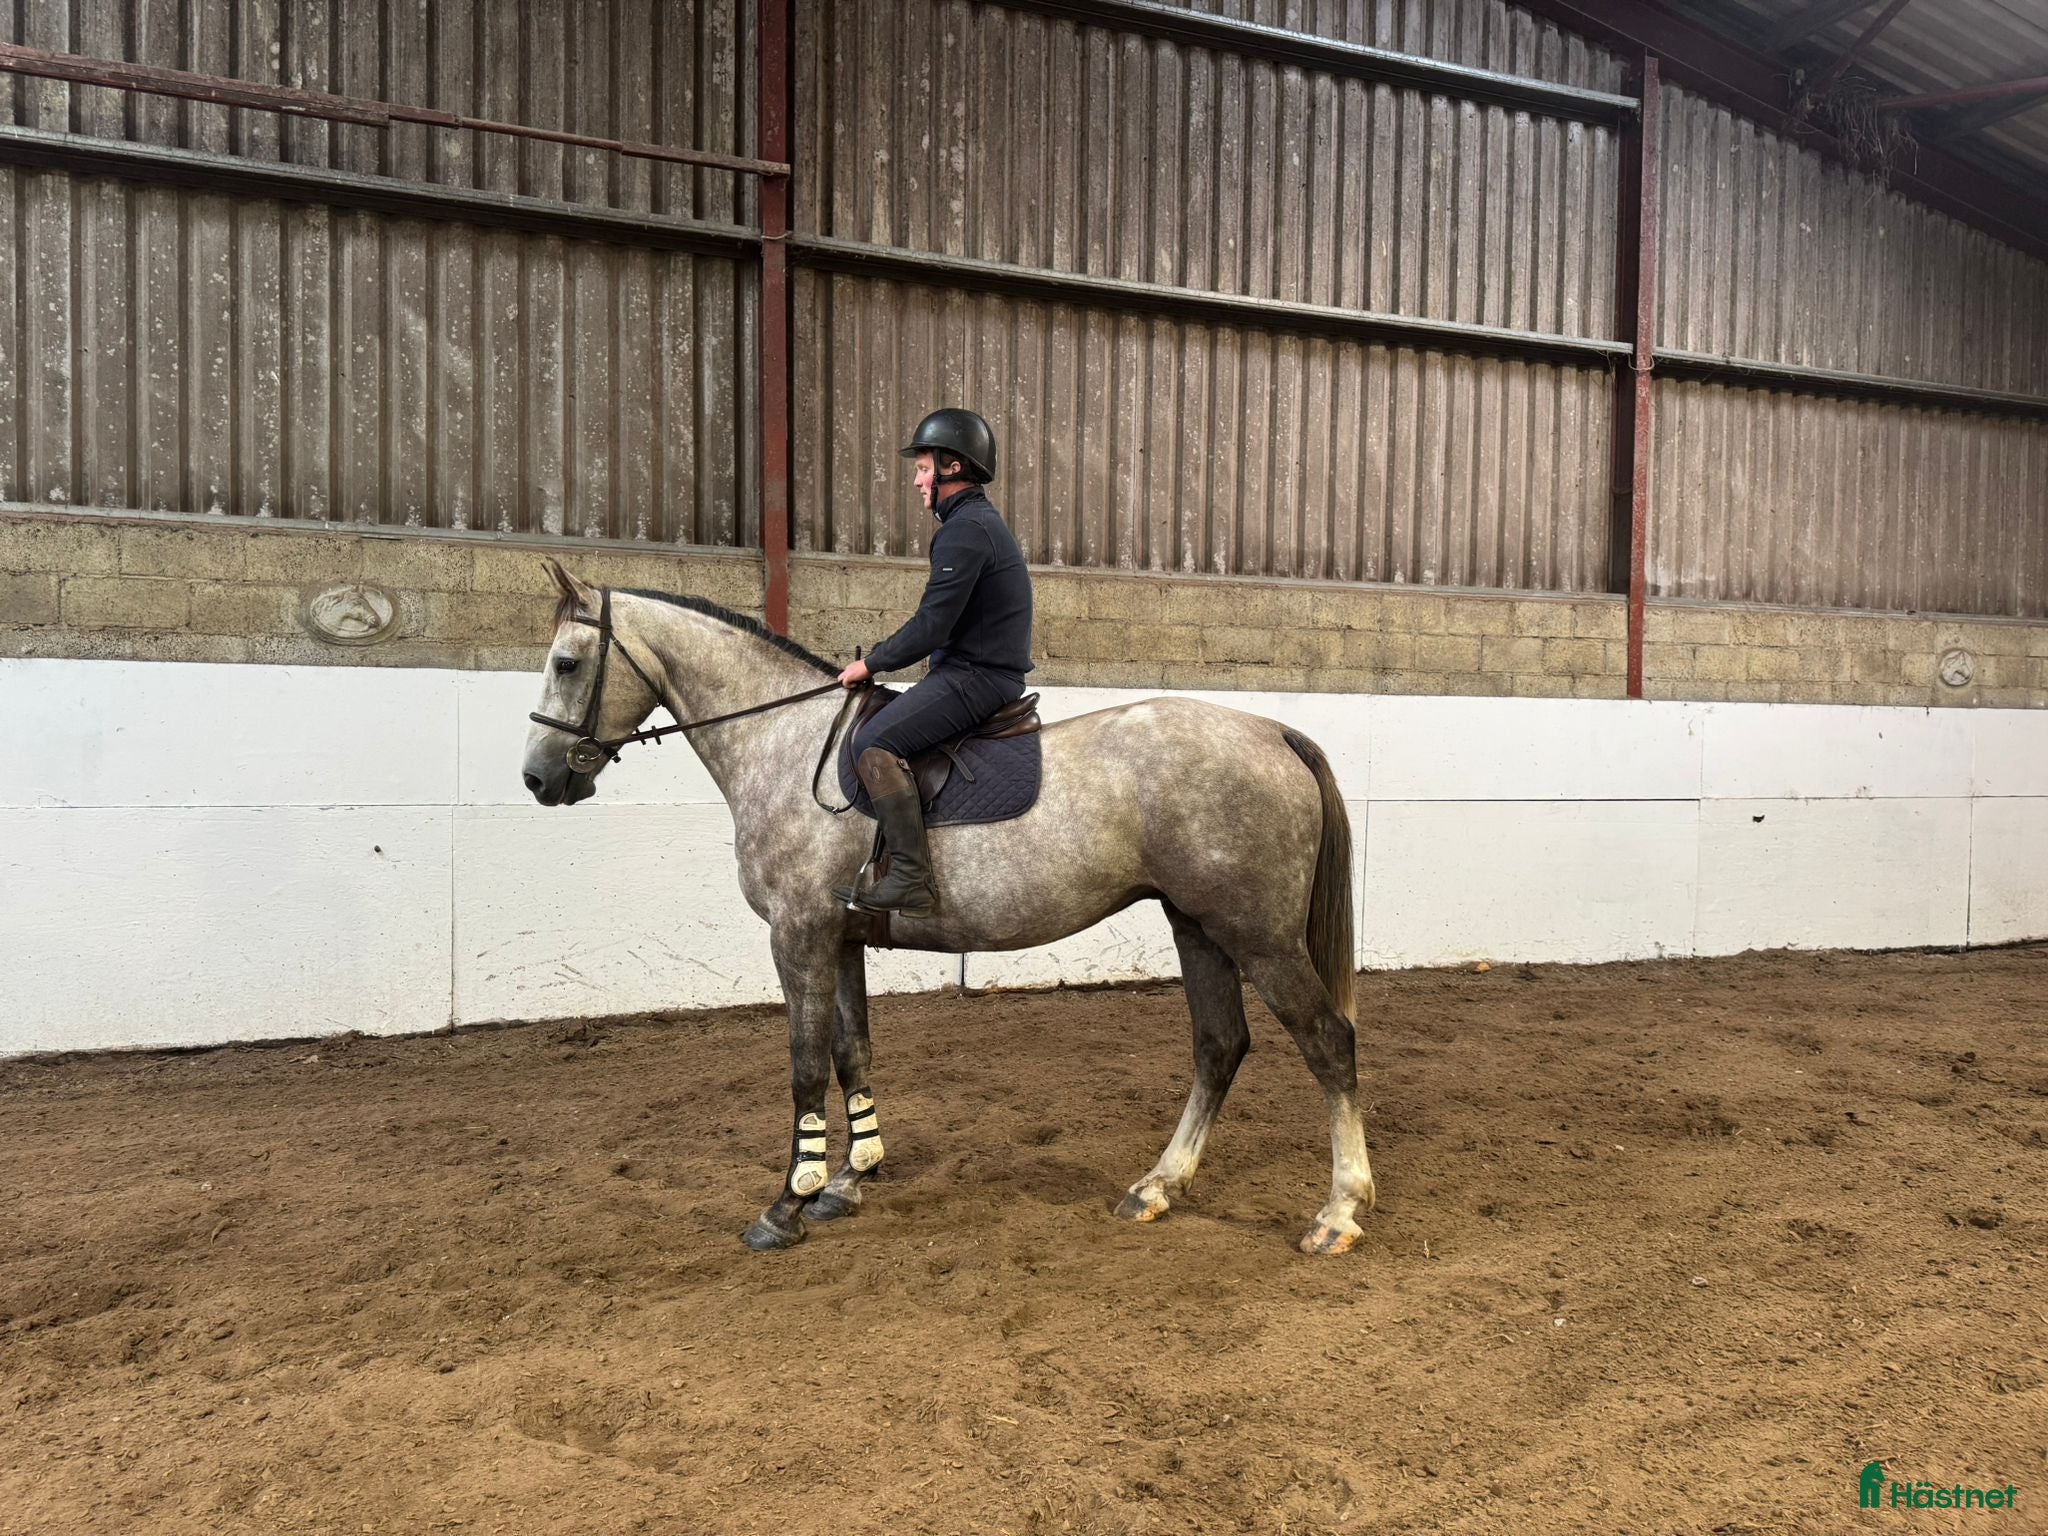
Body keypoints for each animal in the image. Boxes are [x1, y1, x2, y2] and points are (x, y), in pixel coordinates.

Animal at [520, 562, 1375, 1256]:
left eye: (566, 663)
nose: (537, 779)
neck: (785, 743)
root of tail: (1272, 730)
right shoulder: (841, 939)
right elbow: (851, 1053)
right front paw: (849, 1178)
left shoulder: (799, 936)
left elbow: (804, 1066)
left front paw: (787, 1205)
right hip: (1197, 925)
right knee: (1219, 1046)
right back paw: (1159, 1186)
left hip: (1258, 935)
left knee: (1328, 1042)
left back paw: (1338, 1212)